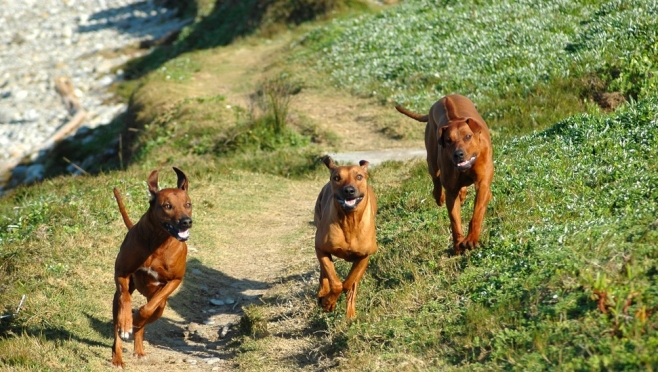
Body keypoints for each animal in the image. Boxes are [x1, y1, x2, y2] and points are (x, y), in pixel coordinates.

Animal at [110, 168, 191, 366]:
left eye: (188, 204)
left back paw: (139, 347)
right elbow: (125, 298)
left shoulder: (175, 280)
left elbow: (148, 309)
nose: (186, 221)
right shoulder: (121, 273)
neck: (158, 242)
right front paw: (126, 322)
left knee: (150, 314)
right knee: (117, 321)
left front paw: (136, 318)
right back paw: (118, 355)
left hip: (161, 306)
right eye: (167, 206)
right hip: (117, 300)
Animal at [314, 157, 376, 320]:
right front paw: (328, 302)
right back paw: (323, 292)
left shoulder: (364, 256)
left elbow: (350, 283)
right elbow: (336, 283)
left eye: (359, 176)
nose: (349, 190)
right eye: (337, 178)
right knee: (324, 272)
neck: (349, 221)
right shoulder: (321, 248)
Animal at [394, 94, 492, 254]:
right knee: (436, 177)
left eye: (468, 136)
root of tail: (445, 97)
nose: (458, 154)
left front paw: (471, 239)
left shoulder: (483, 185)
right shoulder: (451, 193)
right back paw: (439, 196)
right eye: (448, 140)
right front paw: (458, 245)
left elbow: (477, 213)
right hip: (432, 158)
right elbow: (455, 221)